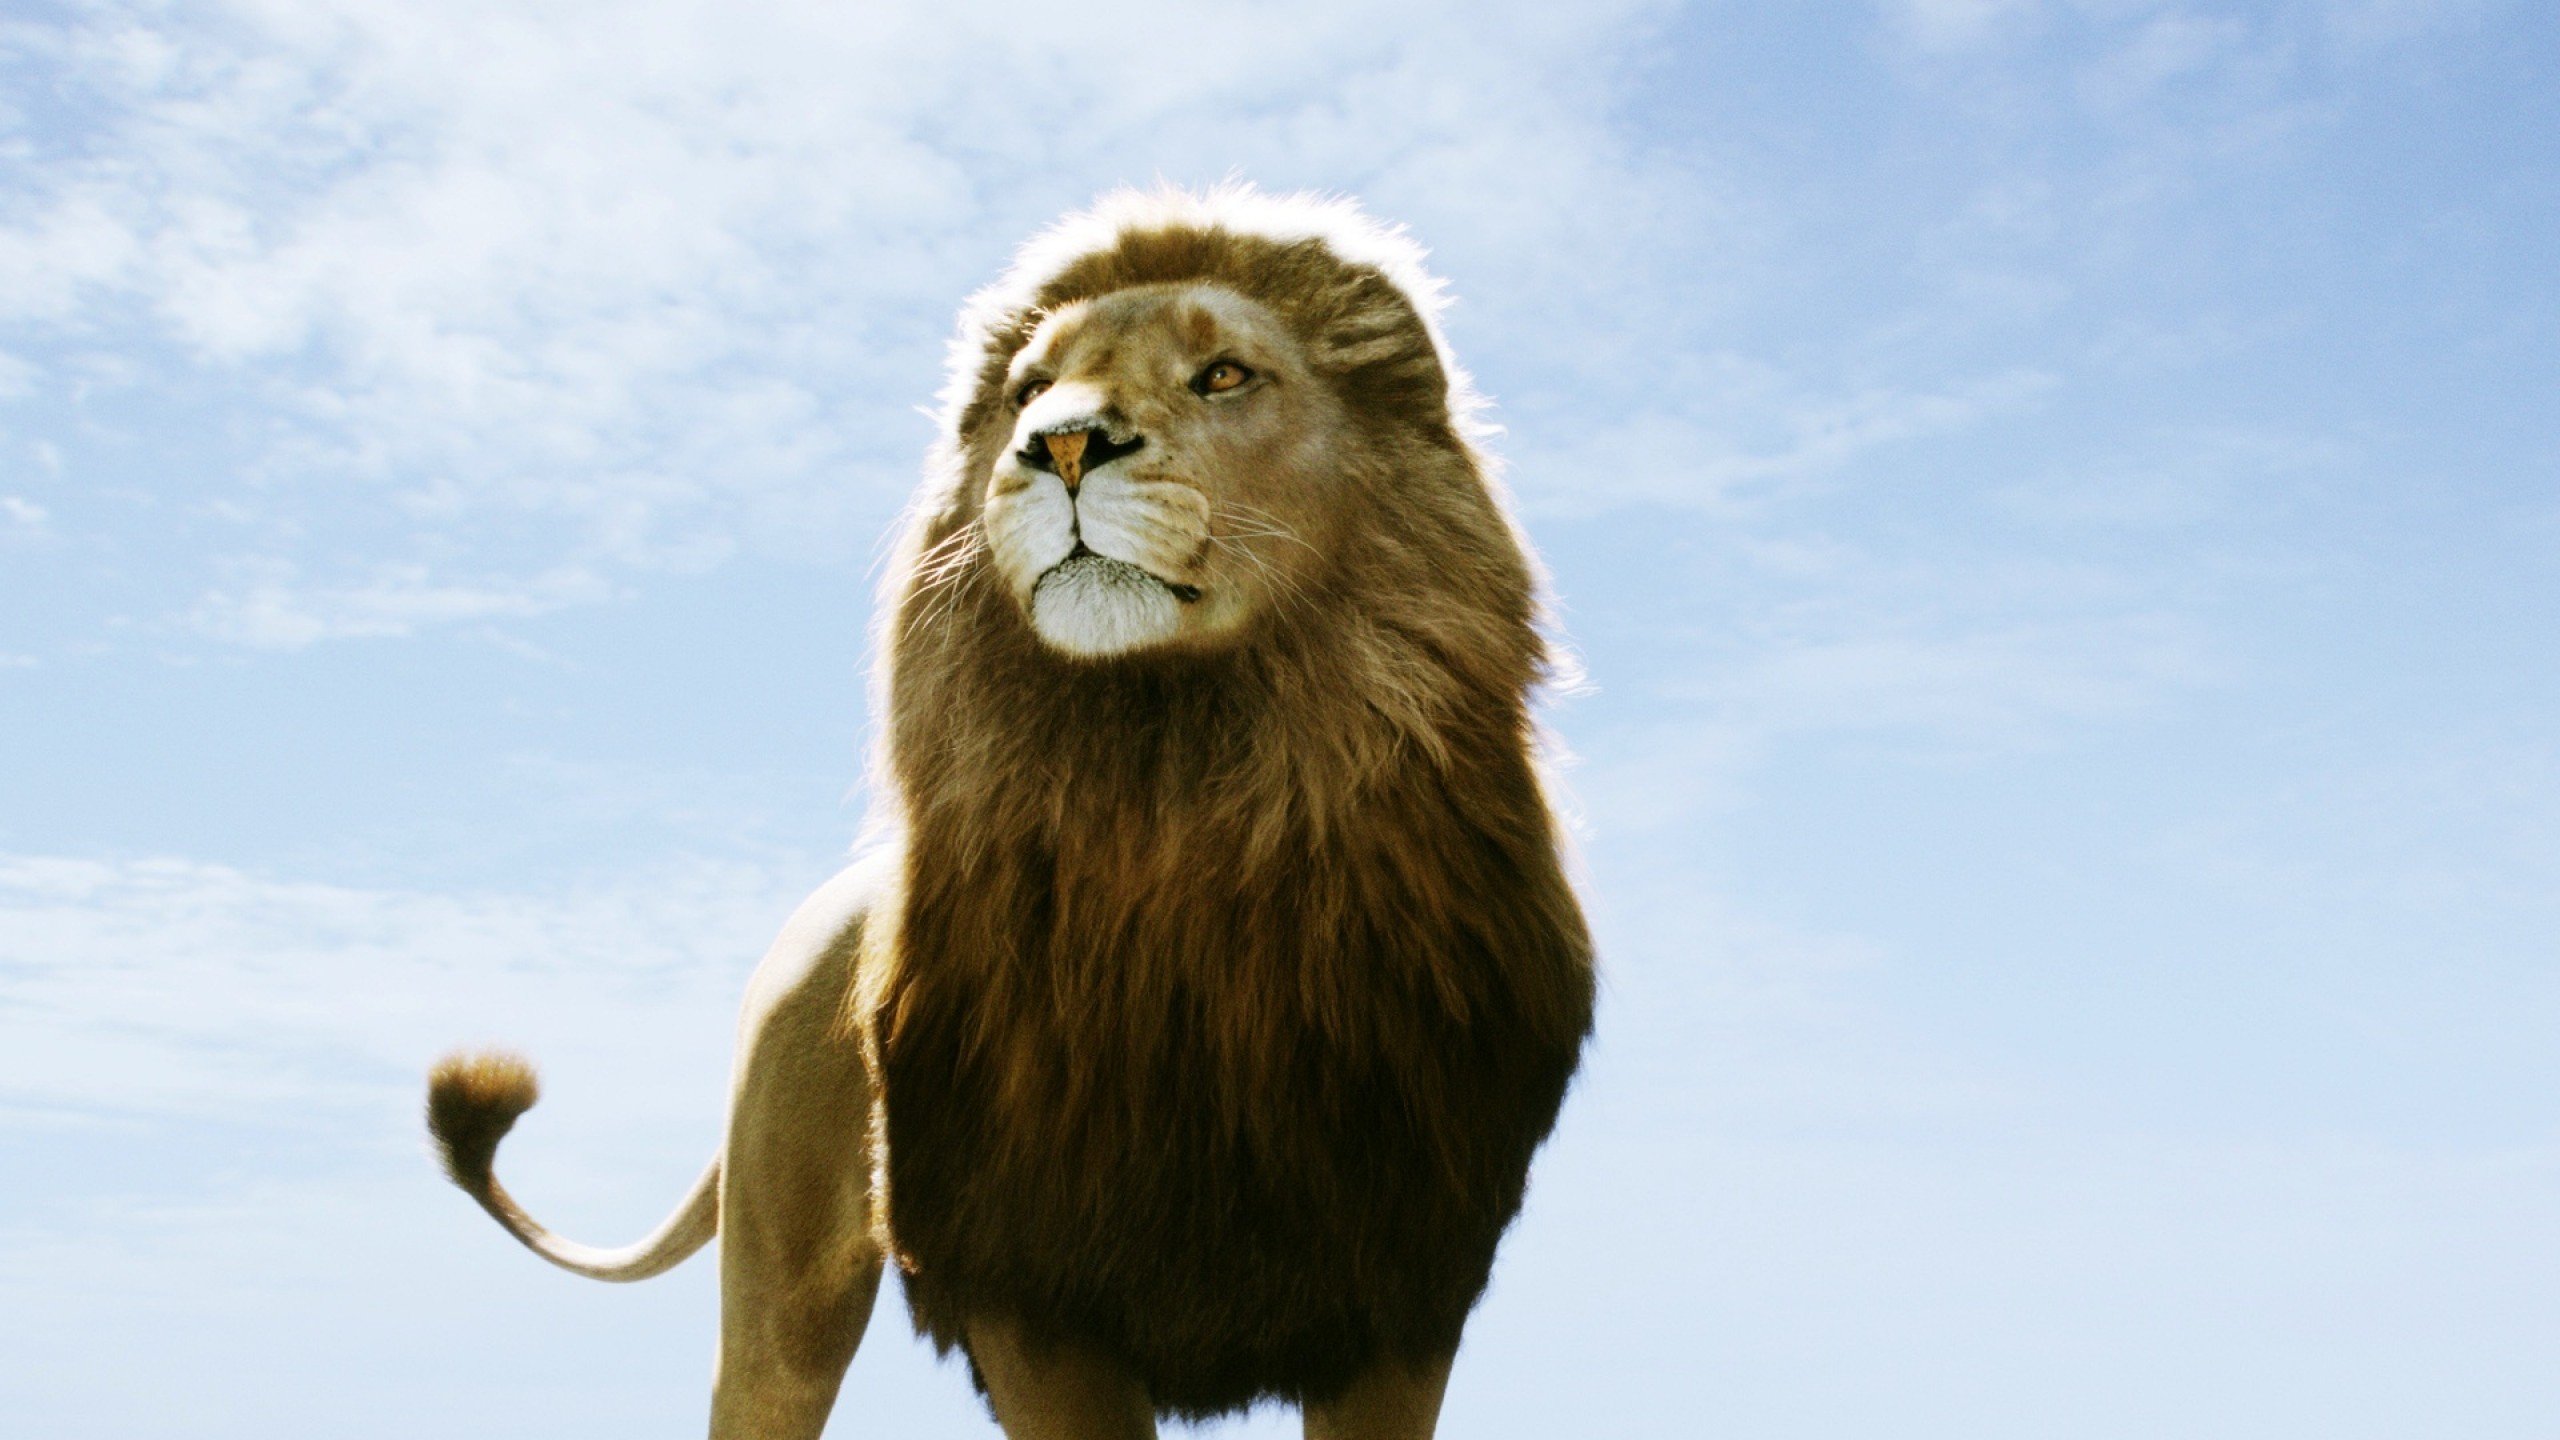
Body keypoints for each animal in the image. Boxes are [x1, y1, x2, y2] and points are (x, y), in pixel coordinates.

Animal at [427, 185, 1595, 1440]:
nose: (1062, 445)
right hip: (782, 1285)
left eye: (1224, 375)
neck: (1182, 806)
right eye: (1032, 388)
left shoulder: (1401, 1289)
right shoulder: (1030, 1287)